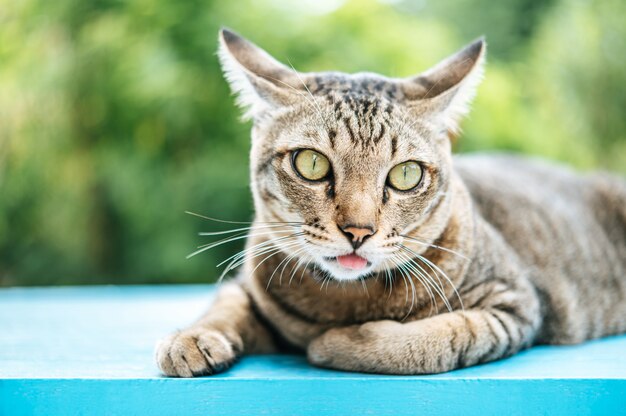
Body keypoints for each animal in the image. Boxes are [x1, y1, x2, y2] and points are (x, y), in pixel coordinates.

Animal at [154, 27, 624, 376]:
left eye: (405, 175)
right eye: (311, 163)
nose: (358, 231)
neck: (345, 299)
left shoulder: (512, 306)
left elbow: (432, 339)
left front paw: (335, 343)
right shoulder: (250, 278)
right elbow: (227, 302)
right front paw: (192, 337)